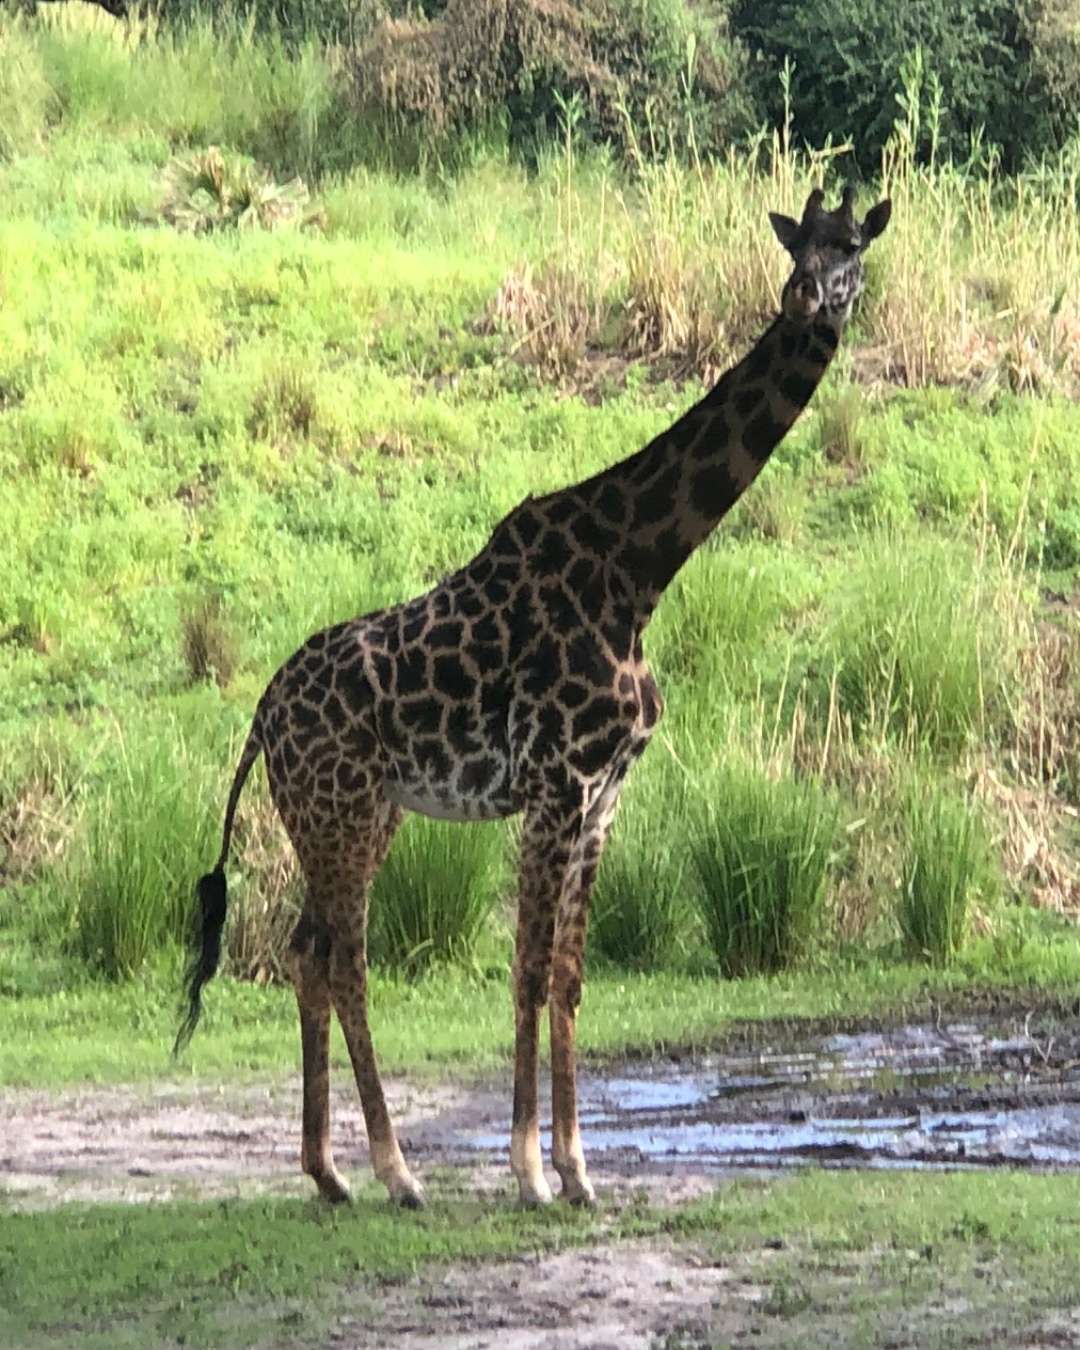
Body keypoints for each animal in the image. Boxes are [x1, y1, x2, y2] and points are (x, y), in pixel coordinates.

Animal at [176, 186, 891, 1210]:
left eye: (853, 252)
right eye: (802, 252)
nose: (808, 302)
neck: (640, 571)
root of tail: (261, 715)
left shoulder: (604, 796)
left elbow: (569, 978)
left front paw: (581, 1171)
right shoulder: (554, 786)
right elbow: (524, 972)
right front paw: (528, 1171)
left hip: (358, 814)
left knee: (309, 953)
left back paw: (330, 1173)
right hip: (337, 811)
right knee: (345, 960)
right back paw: (397, 1172)